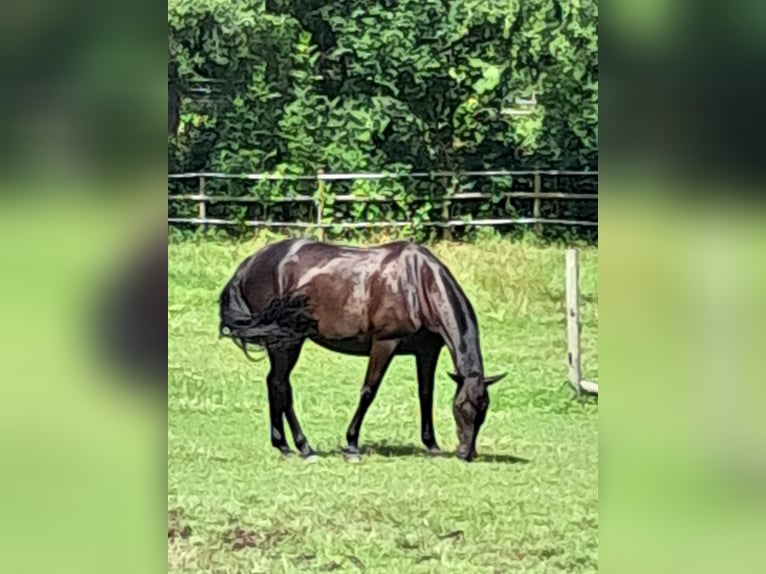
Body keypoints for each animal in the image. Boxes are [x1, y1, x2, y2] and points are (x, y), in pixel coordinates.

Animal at [219, 240, 508, 464]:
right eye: (460, 407)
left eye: (483, 410)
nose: (466, 454)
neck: (418, 283)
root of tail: (250, 262)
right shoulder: (385, 343)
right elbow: (369, 391)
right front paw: (351, 445)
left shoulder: (427, 351)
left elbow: (426, 394)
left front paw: (432, 445)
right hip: (286, 341)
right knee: (281, 385)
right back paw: (304, 447)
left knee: (274, 383)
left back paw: (284, 446)